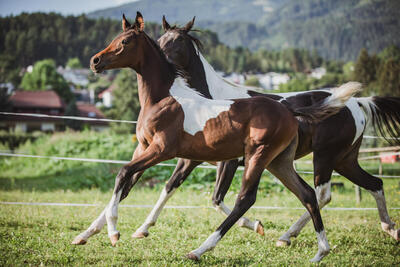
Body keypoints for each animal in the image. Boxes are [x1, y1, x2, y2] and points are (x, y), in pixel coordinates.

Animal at [71, 12, 360, 262]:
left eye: (125, 42)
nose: (95, 62)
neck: (165, 98)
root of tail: (288, 109)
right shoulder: (143, 149)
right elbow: (126, 186)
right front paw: (85, 234)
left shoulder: (162, 150)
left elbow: (123, 174)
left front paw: (114, 233)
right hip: (281, 162)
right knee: (308, 194)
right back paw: (320, 250)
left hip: (261, 156)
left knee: (246, 199)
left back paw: (200, 249)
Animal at [138, 16, 400, 246]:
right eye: (160, 39)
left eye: (178, 41)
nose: (160, 60)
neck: (209, 102)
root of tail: (357, 103)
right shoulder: (190, 158)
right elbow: (170, 186)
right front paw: (142, 229)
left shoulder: (228, 162)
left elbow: (217, 199)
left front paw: (255, 225)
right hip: (345, 159)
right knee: (374, 183)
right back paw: (390, 229)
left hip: (325, 157)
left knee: (322, 194)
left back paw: (286, 236)